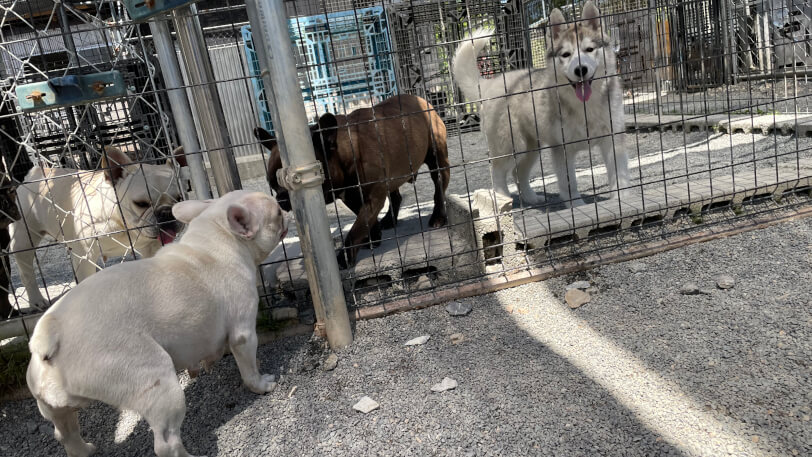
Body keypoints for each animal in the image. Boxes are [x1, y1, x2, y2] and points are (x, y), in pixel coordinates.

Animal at [8, 148, 186, 308]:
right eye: (141, 204)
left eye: (180, 199)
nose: (166, 213)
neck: (121, 223)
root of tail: (35, 172)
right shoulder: (85, 257)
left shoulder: (152, 246)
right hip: (24, 238)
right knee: (26, 272)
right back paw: (36, 300)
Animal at [26, 189, 288, 456]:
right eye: (277, 213)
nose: (286, 209)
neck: (218, 237)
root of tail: (50, 333)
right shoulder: (243, 333)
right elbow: (249, 367)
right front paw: (261, 384)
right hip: (156, 381)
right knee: (166, 443)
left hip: (53, 404)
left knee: (65, 431)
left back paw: (83, 449)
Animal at [255, 95, 450, 268]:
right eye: (272, 185)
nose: (281, 199)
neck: (344, 153)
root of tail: (423, 100)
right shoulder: (351, 197)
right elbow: (363, 221)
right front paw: (373, 237)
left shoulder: (372, 198)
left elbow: (356, 228)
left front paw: (345, 258)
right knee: (395, 196)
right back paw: (389, 220)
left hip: (438, 159)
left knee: (438, 188)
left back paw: (438, 217)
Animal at [454, 1, 632, 205]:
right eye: (566, 54)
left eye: (589, 49)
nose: (580, 70)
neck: (586, 106)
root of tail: (490, 82)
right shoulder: (562, 149)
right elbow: (569, 183)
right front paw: (577, 206)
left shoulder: (613, 139)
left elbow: (619, 175)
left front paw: (622, 199)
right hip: (512, 146)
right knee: (497, 171)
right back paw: (503, 199)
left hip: (531, 146)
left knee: (518, 173)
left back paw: (532, 198)